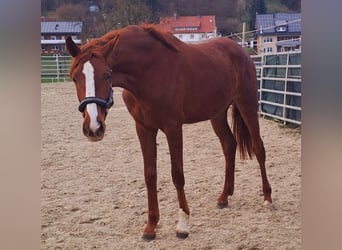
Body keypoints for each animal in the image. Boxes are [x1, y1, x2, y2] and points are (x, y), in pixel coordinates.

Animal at [65, 23, 272, 240]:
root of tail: (241, 51)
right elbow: (150, 175)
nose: (94, 127)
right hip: (217, 114)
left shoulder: (173, 127)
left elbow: (177, 174)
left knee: (258, 147)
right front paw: (151, 226)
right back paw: (224, 196)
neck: (149, 71)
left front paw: (183, 225)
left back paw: (267, 198)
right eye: (74, 78)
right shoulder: (144, 128)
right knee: (229, 145)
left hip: (247, 105)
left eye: (107, 75)